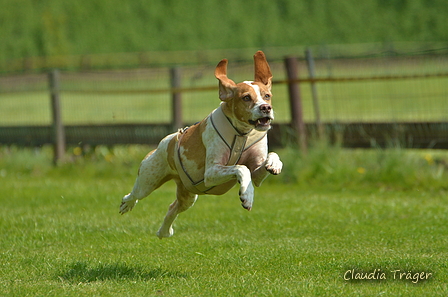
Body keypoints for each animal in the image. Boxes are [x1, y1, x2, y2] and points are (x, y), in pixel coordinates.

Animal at [119, 49, 280, 237]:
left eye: (267, 96)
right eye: (246, 97)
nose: (266, 108)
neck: (241, 134)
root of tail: (166, 141)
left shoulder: (257, 174)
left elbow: (269, 157)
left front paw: (274, 164)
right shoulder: (211, 172)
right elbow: (241, 168)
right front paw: (247, 195)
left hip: (188, 196)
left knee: (172, 207)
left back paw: (164, 231)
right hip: (148, 180)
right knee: (135, 194)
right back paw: (127, 204)